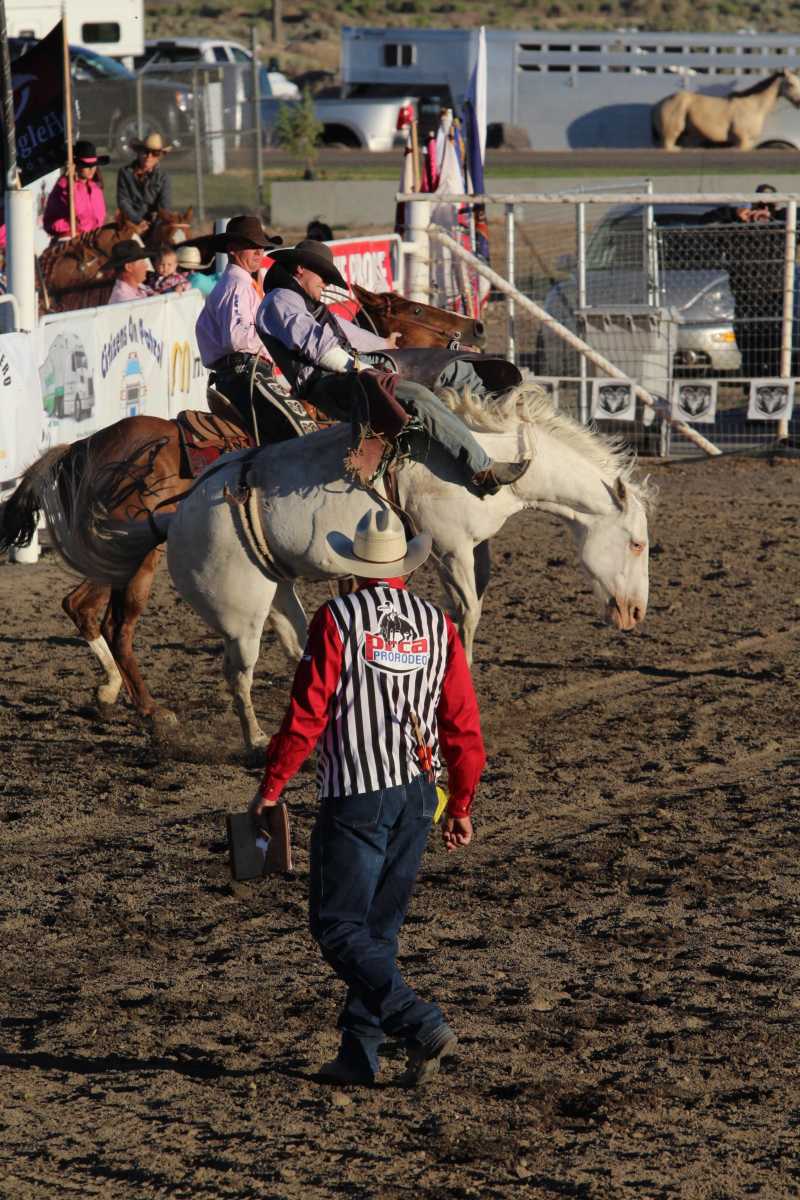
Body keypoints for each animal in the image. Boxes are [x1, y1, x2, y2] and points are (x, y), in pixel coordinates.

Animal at [0, 321, 501, 722]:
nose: (477, 330)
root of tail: (83, 447)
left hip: (119, 553)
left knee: (81, 607)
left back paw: (110, 692)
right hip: (138, 559)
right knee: (114, 625)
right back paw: (152, 710)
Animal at [34, 384, 652, 754]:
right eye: (638, 544)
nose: (635, 613)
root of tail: (175, 518)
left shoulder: (462, 552)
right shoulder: (451, 547)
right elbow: (468, 617)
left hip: (276, 590)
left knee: (296, 646)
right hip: (238, 615)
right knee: (233, 671)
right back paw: (250, 739)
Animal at [653, 69, 800, 151]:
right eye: (791, 84)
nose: (799, 103)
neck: (753, 106)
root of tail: (659, 103)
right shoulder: (741, 142)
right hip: (670, 137)